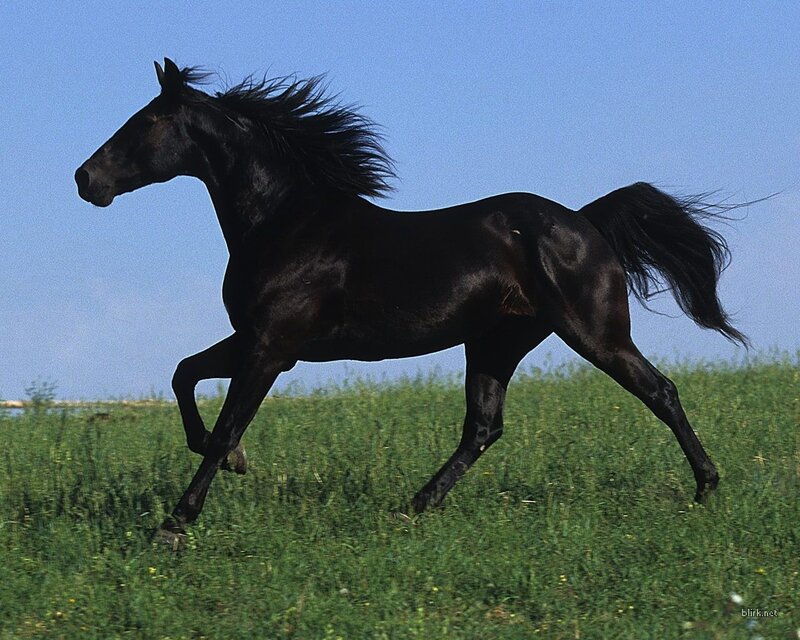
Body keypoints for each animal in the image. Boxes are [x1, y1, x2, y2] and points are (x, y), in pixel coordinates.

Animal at [75, 58, 747, 547]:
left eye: (146, 123)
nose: (86, 179)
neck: (284, 223)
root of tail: (586, 222)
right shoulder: (258, 340)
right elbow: (184, 375)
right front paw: (237, 464)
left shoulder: (271, 347)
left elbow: (223, 425)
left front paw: (176, 522)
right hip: (496, 343)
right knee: (483, 428)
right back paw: (415, 507)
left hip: (594, 334)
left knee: (660, 392)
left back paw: (708, 487)